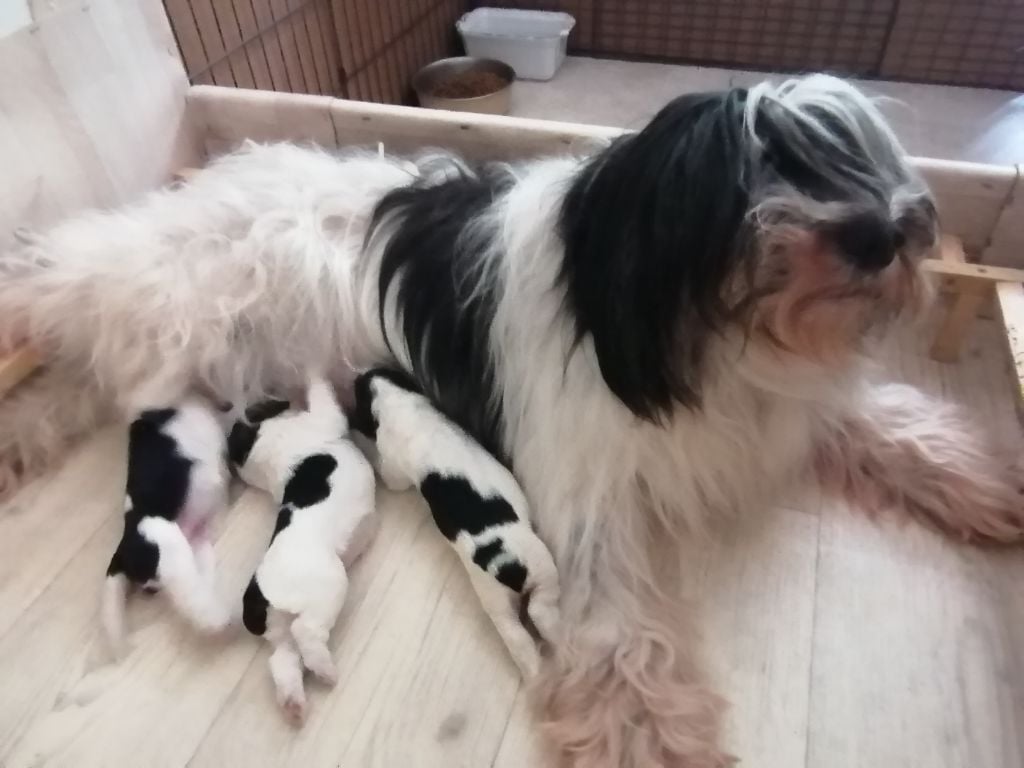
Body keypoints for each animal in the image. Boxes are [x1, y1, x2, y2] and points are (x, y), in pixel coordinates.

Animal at [226, 376, 378, 724]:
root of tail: (258, 595)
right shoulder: (324, 418)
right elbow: (322, 394)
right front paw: (311, 374)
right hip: (328, 589)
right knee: (307, 632)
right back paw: (326, 671)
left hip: (280, 631)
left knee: (283, 661)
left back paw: (293, 702)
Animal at [352, 370, 561, 675]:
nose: (359, 374)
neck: (398, 401)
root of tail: (505, 565)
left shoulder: (393, 466)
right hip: (526, 582)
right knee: (536, 620)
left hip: (521, 583)